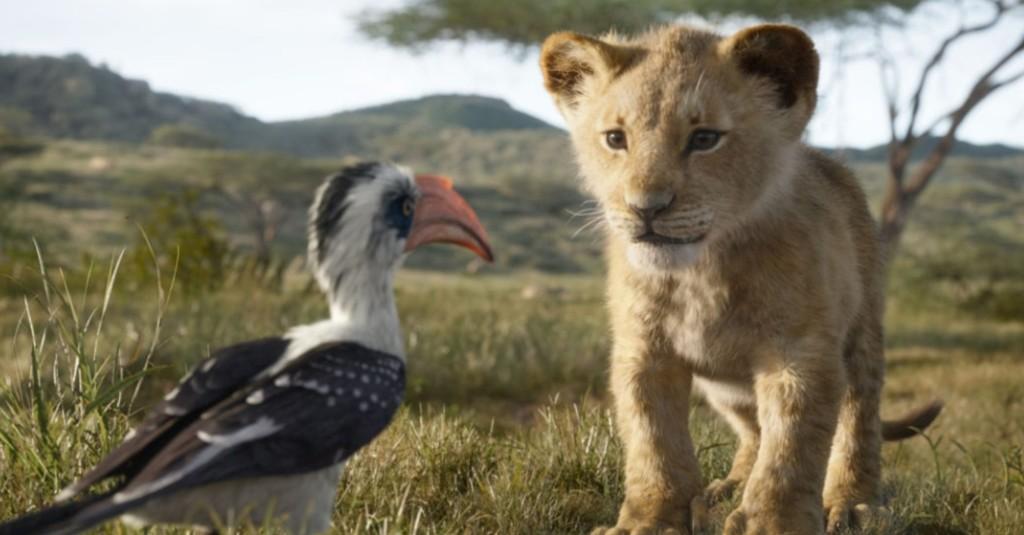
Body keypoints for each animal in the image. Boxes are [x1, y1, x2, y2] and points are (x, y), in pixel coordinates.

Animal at [539, 24, 942, 535]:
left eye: (705, 138)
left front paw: (773, 524)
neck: (700, 272)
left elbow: (791, 447)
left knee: (857, 419)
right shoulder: (643, 351)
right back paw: (727, 489)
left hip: (862, 332)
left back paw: (853, 503)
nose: (645, 208)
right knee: (753, 430)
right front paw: (649, 521)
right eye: (615, 138)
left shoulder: (799, 353)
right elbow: (654, 442)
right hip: (725, 387)